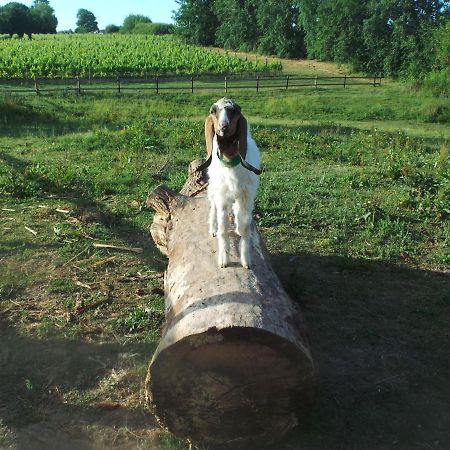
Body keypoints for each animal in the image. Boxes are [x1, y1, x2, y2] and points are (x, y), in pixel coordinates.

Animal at [203, 97, 260, 268]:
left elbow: (244, 227)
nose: (224, 126)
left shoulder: (246, 196)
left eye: (235, 110)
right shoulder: (222, 196)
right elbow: (223, 229)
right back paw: (213, 228)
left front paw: (246, 260)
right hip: (214, 190)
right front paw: (223, 260)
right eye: (213, 111)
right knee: (213, 208)